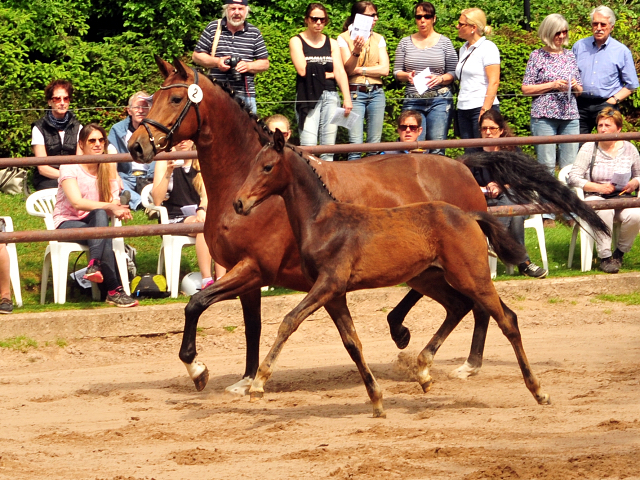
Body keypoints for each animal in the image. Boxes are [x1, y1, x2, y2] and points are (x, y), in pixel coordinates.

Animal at [235, 130, 552, 416]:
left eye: (267, 167)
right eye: (252, 165)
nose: (239, 203)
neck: (322, 222)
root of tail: (469, 215)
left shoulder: (329, 284)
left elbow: (289, 321)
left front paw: (258, 384)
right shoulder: (334, 295)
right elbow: (352, 343)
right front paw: (376, 401)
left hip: (472, 277)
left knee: (506, 320)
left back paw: (538, 391)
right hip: (431, 278)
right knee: (459, 306)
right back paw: (423, 371)